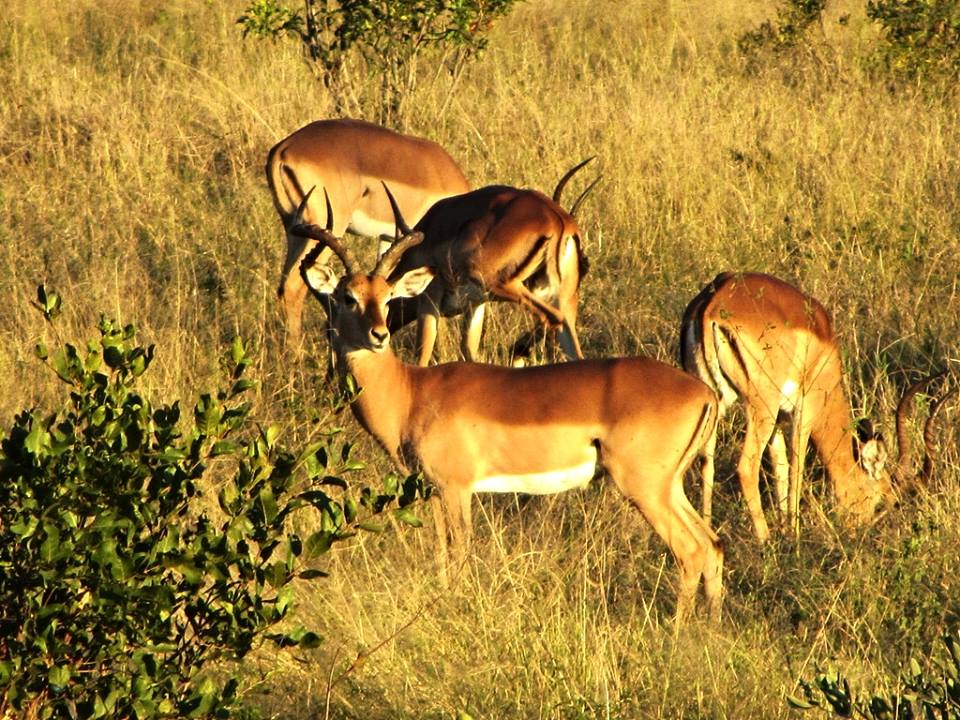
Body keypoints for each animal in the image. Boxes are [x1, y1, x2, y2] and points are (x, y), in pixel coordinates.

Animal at [266, 118, 470, 344]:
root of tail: (283, 148)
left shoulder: (388, 238)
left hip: (294, 229)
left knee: (286, 287)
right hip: (328, 228)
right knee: (294, 287)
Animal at [292, 195, 724, 622]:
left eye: (386, 297)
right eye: (348, 297)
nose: (378, 335)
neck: (411, 392)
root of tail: (705, 394)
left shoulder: (456, 489)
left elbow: (461, 549)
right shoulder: (431, 491)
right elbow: (440, 551)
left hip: (644, 486)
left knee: (691, 550)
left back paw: (677, 633)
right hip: (669, 486)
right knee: (712, 544)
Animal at [382, 158, 599, 366]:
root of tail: (558, 219)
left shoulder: (429, 300)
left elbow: (422, 356)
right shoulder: (476, 304)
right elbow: (468, 351)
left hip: (499, 283)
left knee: (552, 318)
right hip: (560, 298)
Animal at [680, 271, 953, 540]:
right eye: (881, 504)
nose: (863, 534)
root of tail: (713, 302)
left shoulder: (779, 418)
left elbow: (780, 465)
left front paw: (785, 527)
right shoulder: (805, 409)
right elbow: (796, 465)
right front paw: (794, 534)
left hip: (716, 403)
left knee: (707, 463)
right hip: (761, 405)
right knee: (746, 467)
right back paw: (765, 540)